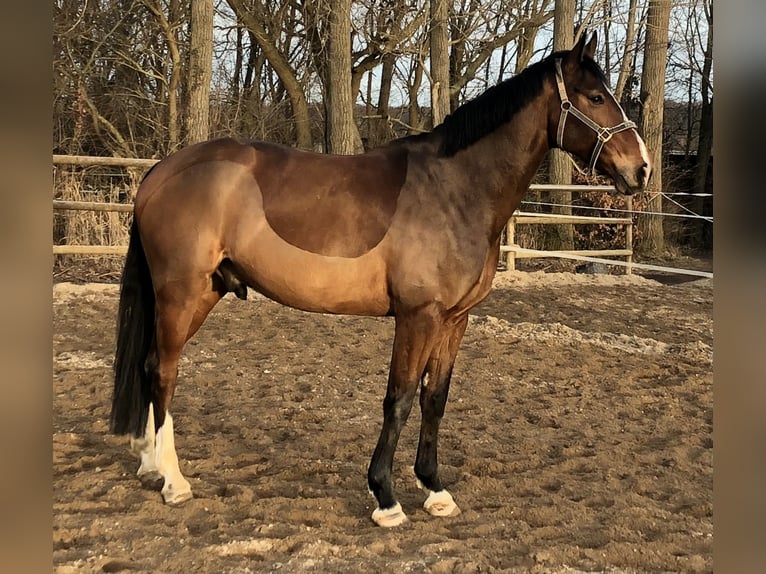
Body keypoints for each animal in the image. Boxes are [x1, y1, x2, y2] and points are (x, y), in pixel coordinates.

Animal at [112, 35, 656, 532]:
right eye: (595, 97)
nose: (642, 169)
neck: (456, 189)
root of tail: (161, 172)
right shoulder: (418, 317)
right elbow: (399, 399)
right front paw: (386, 498)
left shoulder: (454, 319)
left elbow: (435, 398)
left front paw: (435, 490)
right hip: (182, 294)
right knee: (163, 371)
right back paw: (174, 482)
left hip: (202, 292)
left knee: (148, 366)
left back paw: (150, 465)